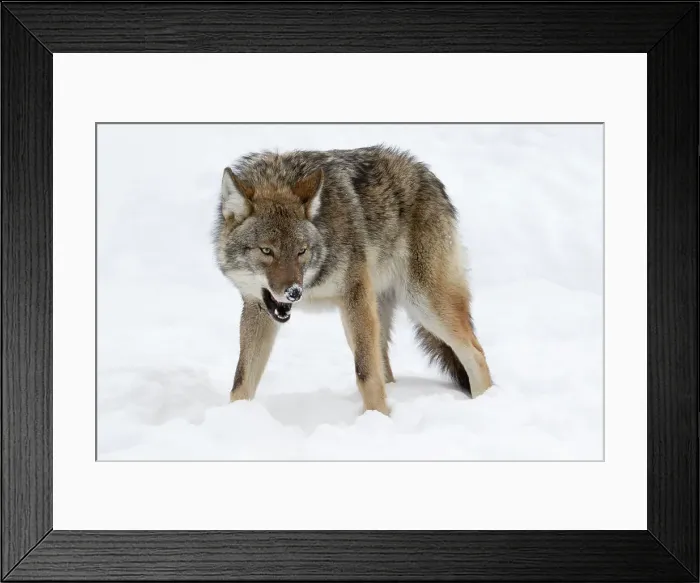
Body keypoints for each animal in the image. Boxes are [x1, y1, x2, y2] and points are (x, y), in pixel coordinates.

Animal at [213, 145, 493, 415]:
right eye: (266, 251)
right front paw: (237, 416)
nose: (294, 292)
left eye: (301, 251)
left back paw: (486, 401)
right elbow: (241, 381)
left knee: (476, 353)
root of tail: (426, 173)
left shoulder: (354, 295)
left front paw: (377, 419)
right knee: (386, 370)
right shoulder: (258, 308)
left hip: (423, 304)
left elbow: (366, 375)